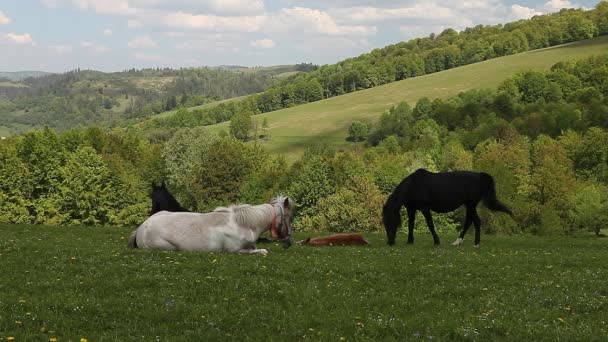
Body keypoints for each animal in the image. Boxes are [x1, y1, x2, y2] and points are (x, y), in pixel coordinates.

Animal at [129, 195, 296, 254]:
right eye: (289, 217)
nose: (290, 241)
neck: (242, 225)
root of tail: (141, 228)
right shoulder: (235, 251)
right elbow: (262, 251)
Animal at [384, 169, 512, 247]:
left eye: (391, 220)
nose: (390, 242)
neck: (413, 186)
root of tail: (480, 176)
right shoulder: (411, 209)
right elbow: (411, 225)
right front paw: (410, 241)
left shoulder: (425, 208)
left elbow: (430, 225)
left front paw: (437, 242)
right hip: (469, 205)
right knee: (469, 221)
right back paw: (457, 242)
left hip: (471, 204)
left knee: (476, 221)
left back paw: (476, 244)